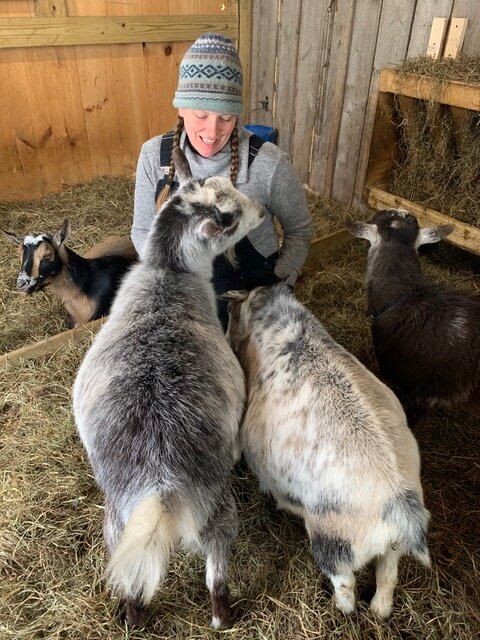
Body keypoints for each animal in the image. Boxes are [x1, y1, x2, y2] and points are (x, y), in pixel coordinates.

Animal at [73, 146, 264, 632]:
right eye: (230, 216)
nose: (262, 211)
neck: (167, 271)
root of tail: (161, 483)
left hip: (120, 522)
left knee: (135, 576)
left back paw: (133, 617)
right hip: (215, 508)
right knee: (216, 571)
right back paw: (221, 617)